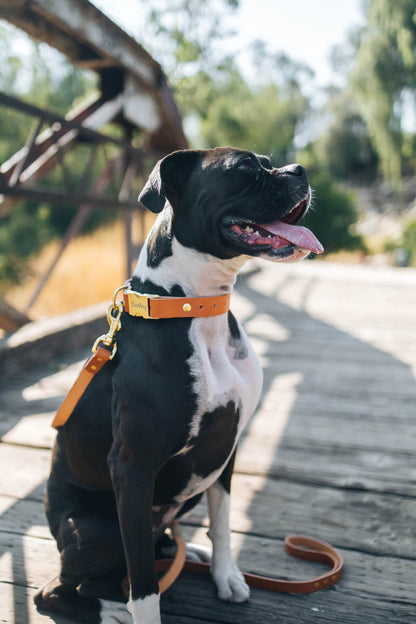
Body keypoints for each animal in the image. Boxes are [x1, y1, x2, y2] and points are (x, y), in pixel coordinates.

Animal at [35, 145, 322, 620]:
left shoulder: (226, 447)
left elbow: (221, 522)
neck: (196, 306)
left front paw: (226, 575)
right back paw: (110, 609)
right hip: (97, 527)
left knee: (157, 545)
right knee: (60, 590)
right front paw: (139, 610)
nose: (300, 170)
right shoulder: (132, 467)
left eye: (269, 161)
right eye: (245, 167)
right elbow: (144, 584)